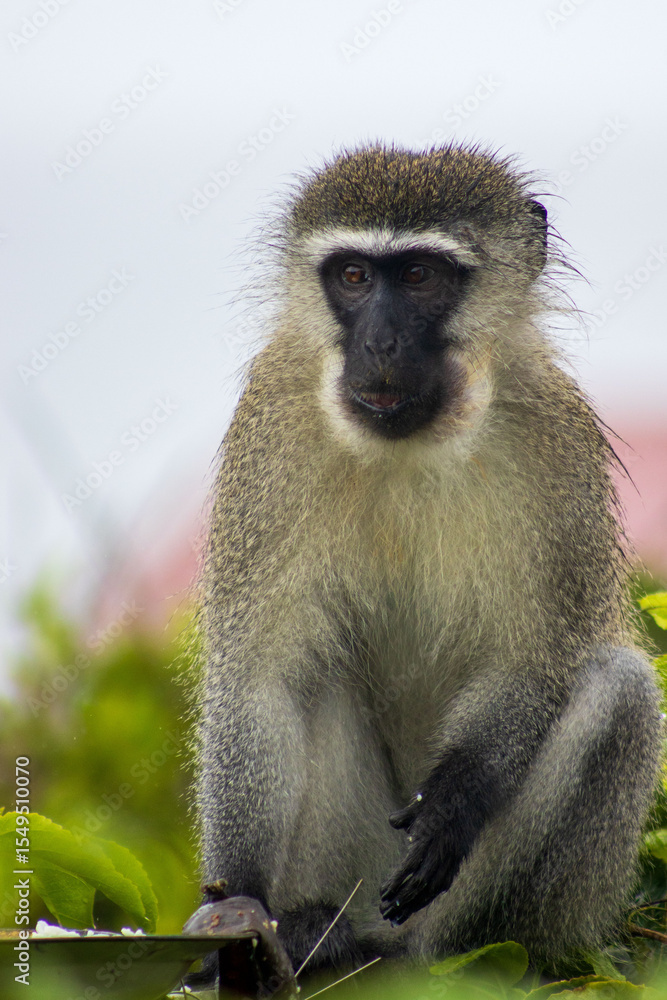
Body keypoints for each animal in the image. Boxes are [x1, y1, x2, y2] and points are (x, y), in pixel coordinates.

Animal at [193, 142, 662, 990]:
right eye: (352, 276)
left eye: (418, 276)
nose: (378, 344)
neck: (410, 442)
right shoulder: (269, 433)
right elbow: (260, 678)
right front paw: (239, 908)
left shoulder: (557, 443)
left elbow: (533, 661)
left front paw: (454, 800)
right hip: (358, 865)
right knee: (316, 672)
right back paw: (315, 932)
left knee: (620, 689)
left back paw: (460, 953)